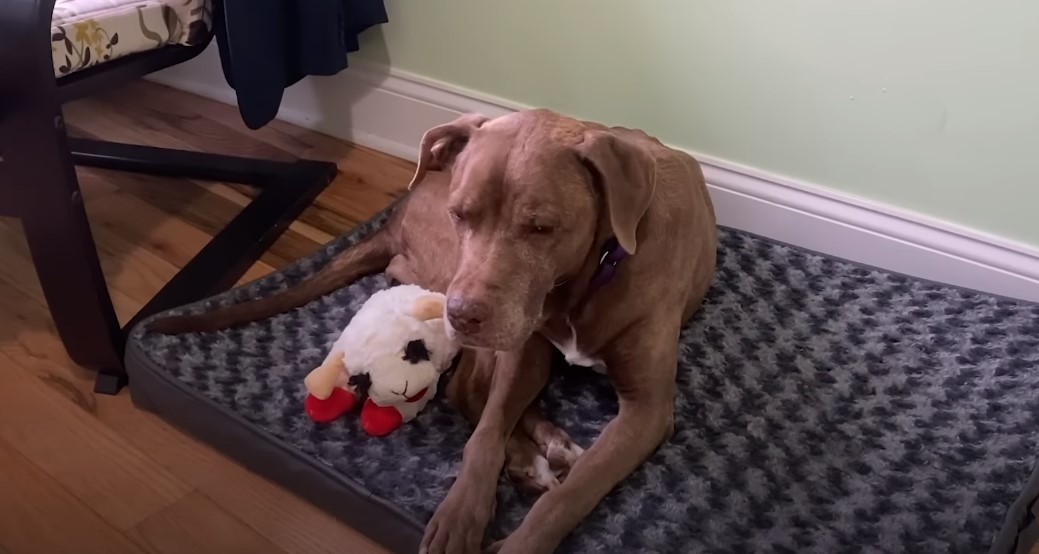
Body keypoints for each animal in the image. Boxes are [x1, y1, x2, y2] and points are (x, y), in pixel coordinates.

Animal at [150, 109, 718, 552]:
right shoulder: (524, 349)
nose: (462, 315)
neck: (591, 274)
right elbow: (486, 432)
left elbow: (572, 493)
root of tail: (397, 212)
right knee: (469, 391)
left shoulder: (647, 410)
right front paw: (462, 511)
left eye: (542, 227)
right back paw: (537, 453)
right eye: (461, 214)